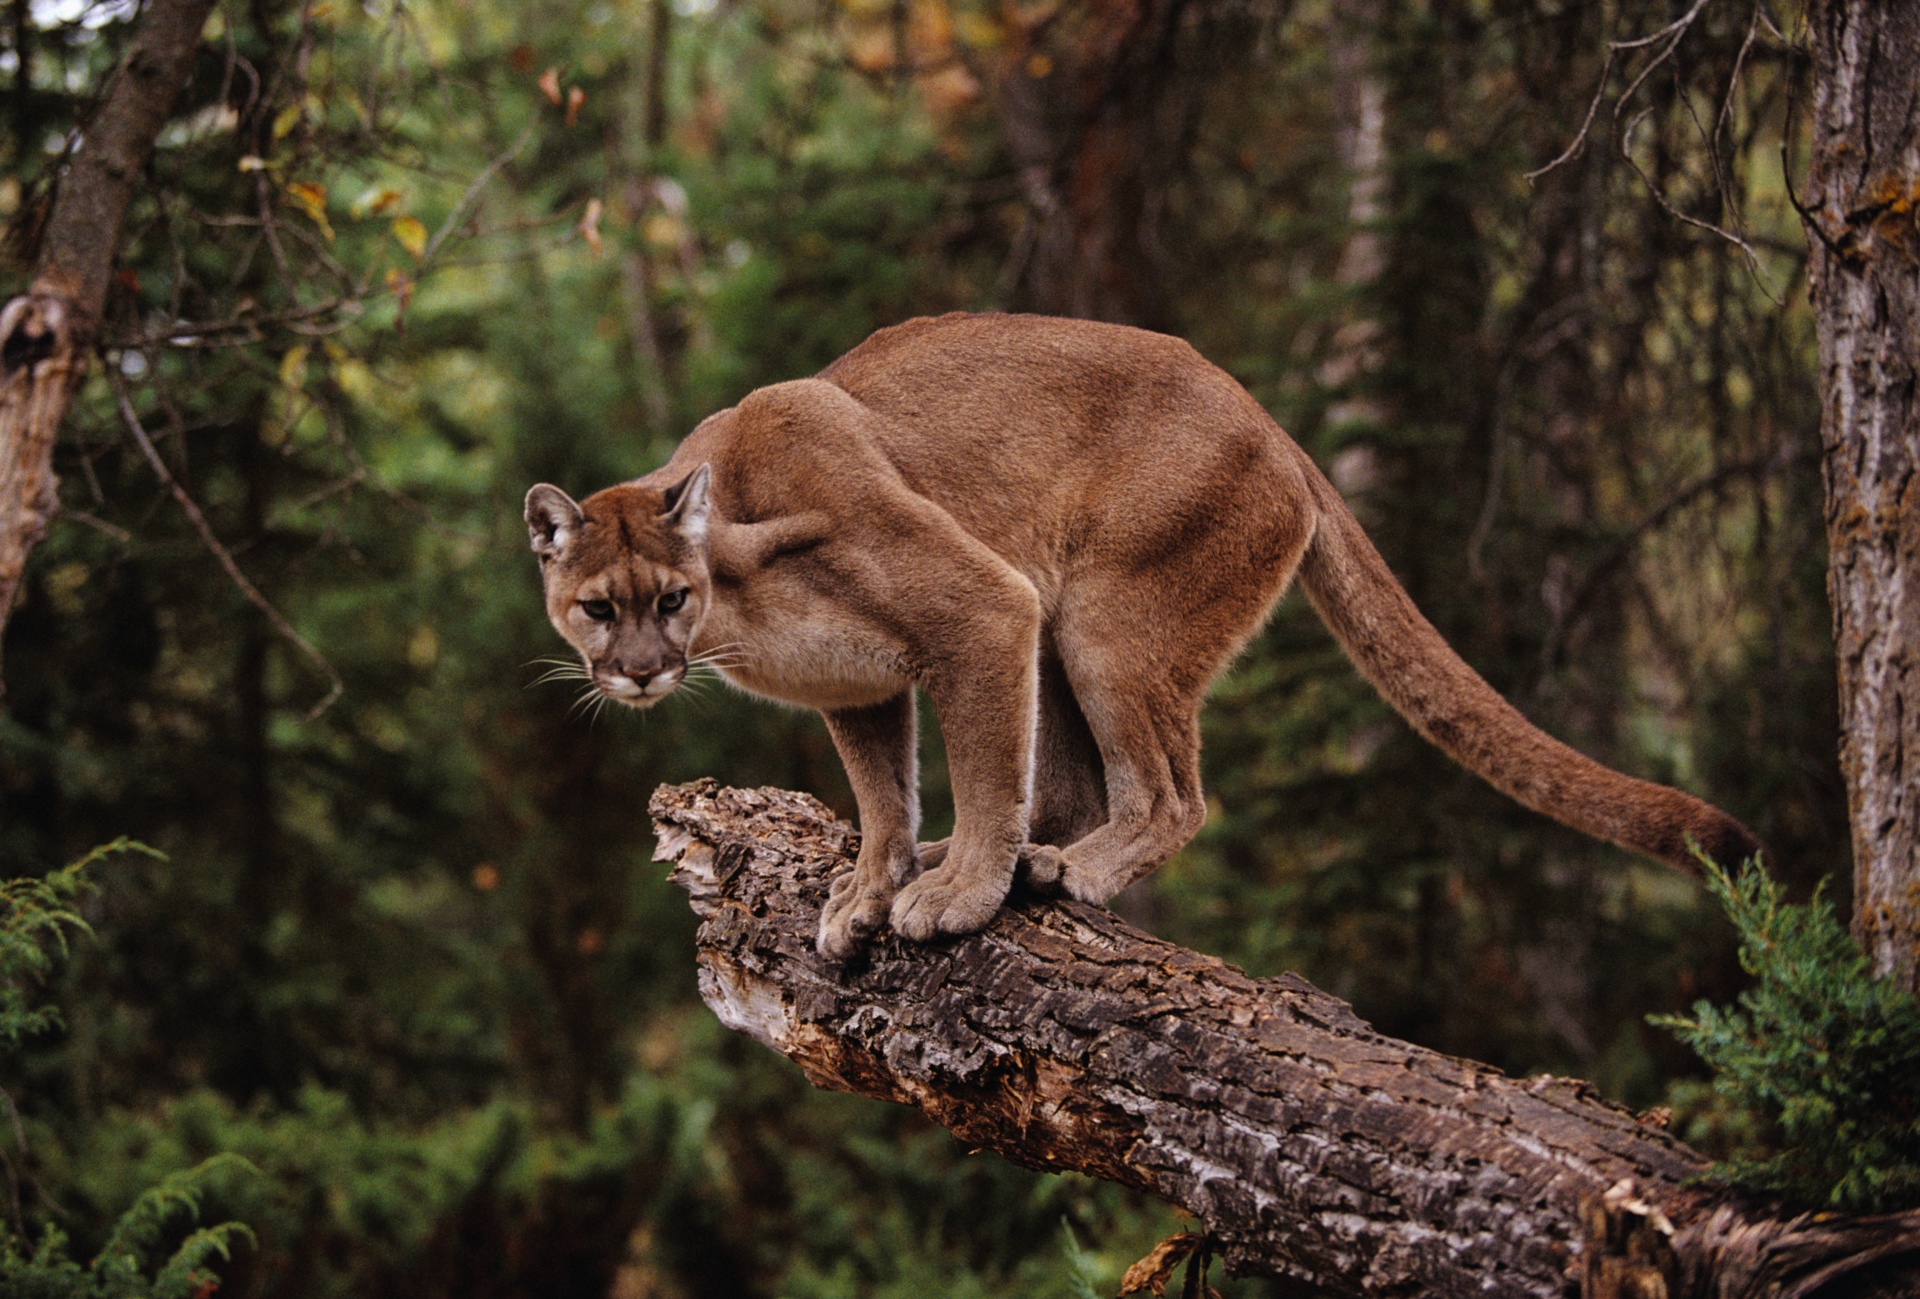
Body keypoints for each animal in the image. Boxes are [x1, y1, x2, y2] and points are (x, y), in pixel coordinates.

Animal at [522, 312, 1758, 959]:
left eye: (667, 600)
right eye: (598, 608)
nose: (640, 675)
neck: (739, 592)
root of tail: (1267, 418)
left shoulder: (981, 607)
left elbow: (982, 770)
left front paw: (953, 896)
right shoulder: (862, 688)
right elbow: (884, 797)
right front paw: (873, 887)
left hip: (1103, 621)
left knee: (1168, 793)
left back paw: (1064, 871)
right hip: (1066, 632)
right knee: (1075, 786)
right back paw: (1034, 858)